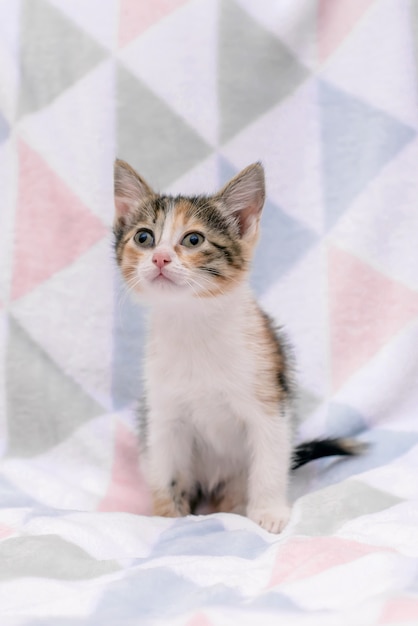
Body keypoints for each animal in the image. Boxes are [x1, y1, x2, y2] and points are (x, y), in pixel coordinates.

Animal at [112, 158, 360, 528]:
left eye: (194, 239)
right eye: (144, 237)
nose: (160, 258)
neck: (194, 323)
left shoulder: (270, 403)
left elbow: (269, 462)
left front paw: (269, 512)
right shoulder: (163, 414)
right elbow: (166, 470)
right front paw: (168, 518)